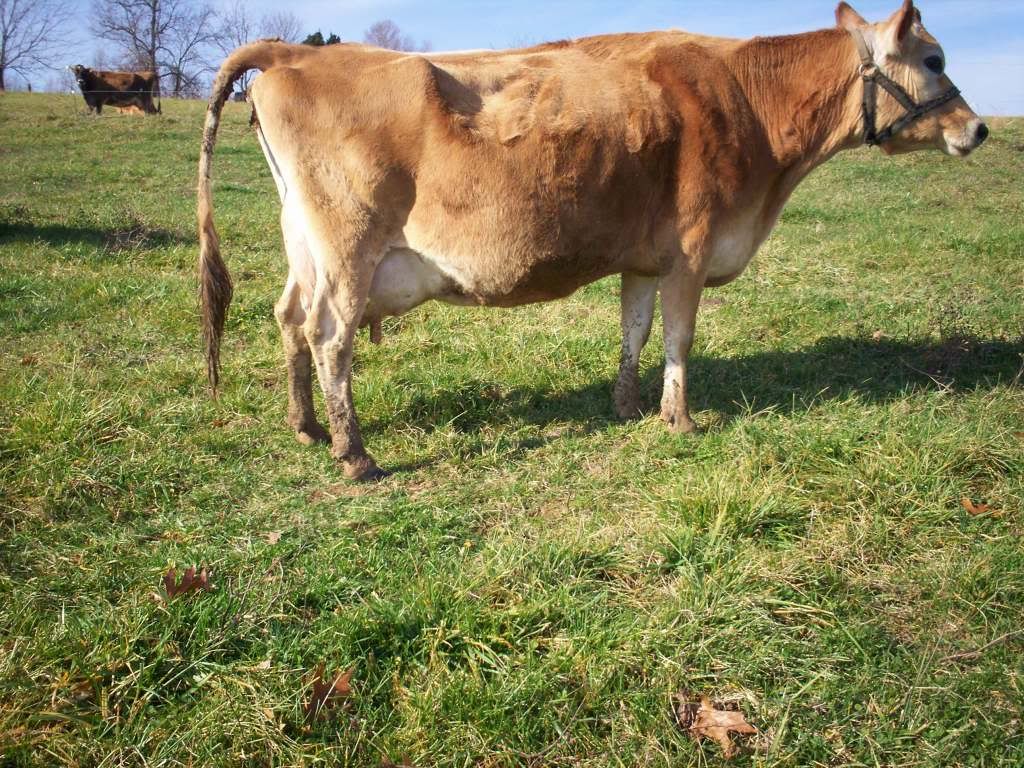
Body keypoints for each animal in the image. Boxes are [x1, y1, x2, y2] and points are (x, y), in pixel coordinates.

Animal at [197, 1, 987, 481]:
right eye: (936, 60)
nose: (977, 129)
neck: (749, 109)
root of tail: (294, 54)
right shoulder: (694, 248)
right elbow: (679, 337)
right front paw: (681, 420)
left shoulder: (647, 256)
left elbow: (635, 329)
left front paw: (628, 406)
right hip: (348, 245)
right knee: (330, 336)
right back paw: (354, 453)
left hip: (303, 240)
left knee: (288, 318)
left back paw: (304, 426)